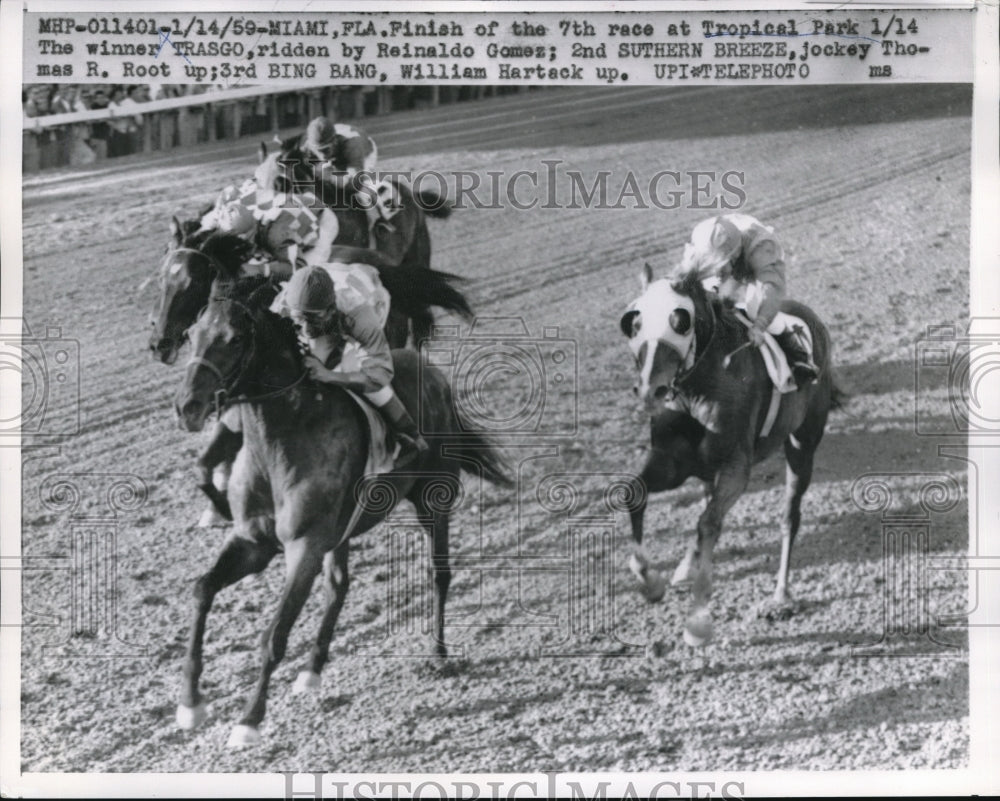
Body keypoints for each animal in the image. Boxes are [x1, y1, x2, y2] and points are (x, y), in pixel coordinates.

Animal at [172, 272, 512, 748]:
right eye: (192, 334)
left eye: (235, 338)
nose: (187, 406)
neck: (281, 441)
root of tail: (433, 372)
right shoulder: (255, 541)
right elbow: (202, 590)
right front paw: (190, 704)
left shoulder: (304, 547)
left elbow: (274, 635)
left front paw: (248, 721)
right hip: (342, 531)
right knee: (339, 586)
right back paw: (312, 671)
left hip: (434, 499)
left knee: (440, 575)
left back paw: (438, 653)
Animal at [616, 266, 844, 648]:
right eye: (634, 322)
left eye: (680, 321)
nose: (651, 389)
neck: (698, 390)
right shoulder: (673, 463)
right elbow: (634, 493)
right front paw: (650, 581)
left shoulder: (737, 467)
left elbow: (709, 523)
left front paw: (697, 622)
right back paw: (684, 569)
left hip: (802, 444)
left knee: (789, 517)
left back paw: (780, 595)